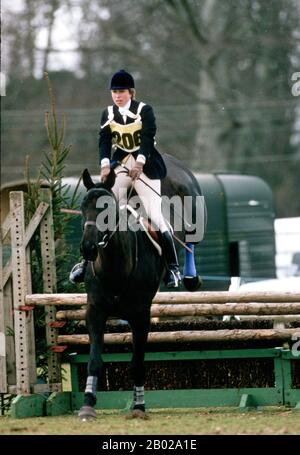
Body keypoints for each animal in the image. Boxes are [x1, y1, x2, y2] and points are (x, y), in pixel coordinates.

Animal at [78, 168, 164, 420]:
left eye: (106, 209)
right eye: (82, 206)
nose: (88, 248)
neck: (115, 267)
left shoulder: (141, 316)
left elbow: (137, 363)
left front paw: (139, 406)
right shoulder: (95, 312)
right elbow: (94, 361)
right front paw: (87, 404)